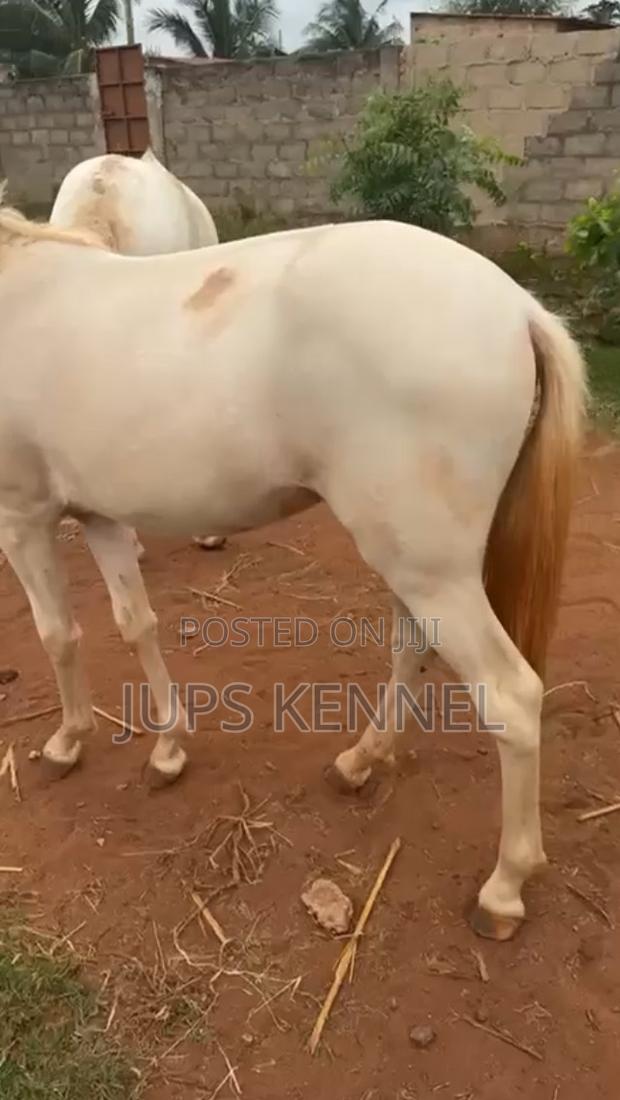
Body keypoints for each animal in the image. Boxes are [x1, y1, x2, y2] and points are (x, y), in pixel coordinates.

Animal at [0, 198, 586, 942]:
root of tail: (517, 308)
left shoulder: (22, 517)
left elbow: (58, 634)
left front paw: (67, 743)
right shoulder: (100, 516)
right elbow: (136, 625)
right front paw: (168, 748)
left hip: (432, 571)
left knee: (510, 697)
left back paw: (504, 888)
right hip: (418, 564)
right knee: (411, 649)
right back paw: (361, 761)